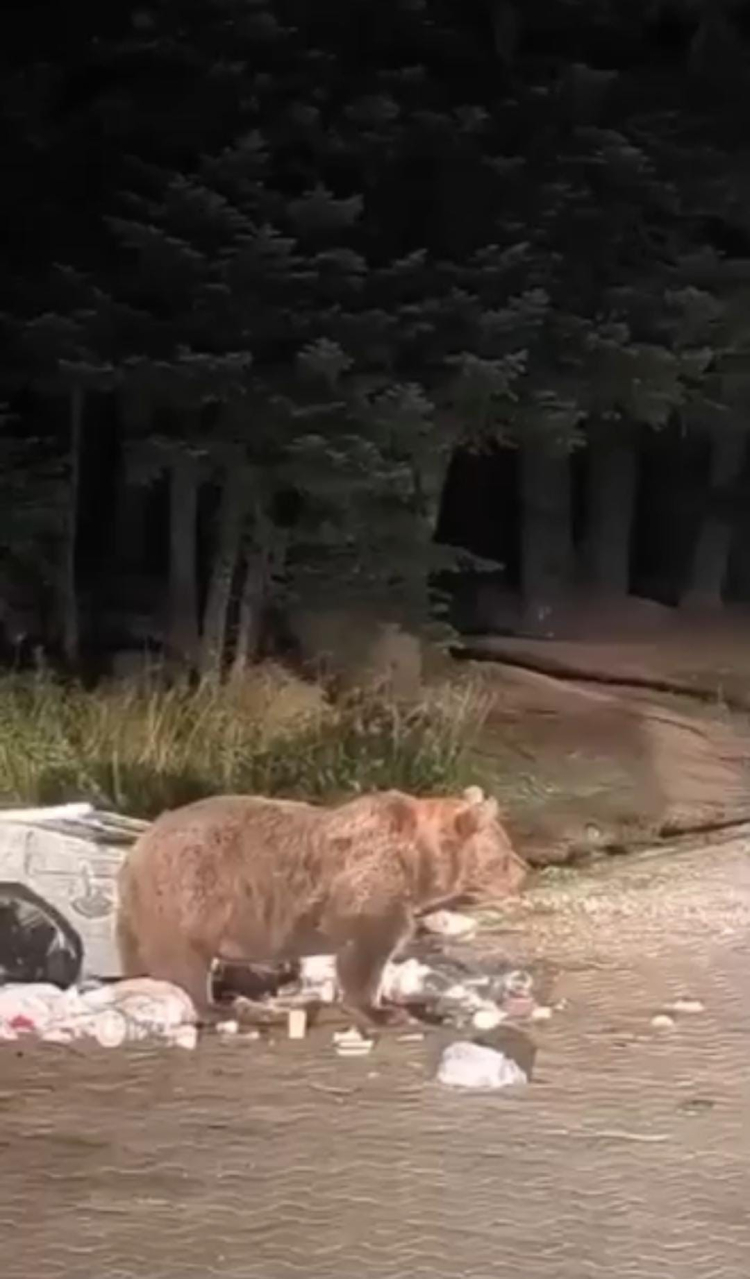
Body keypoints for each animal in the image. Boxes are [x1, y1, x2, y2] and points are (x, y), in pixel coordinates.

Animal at [115, 785, 526, 1027]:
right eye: (505, 855)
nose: (524, 873)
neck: (419, 864)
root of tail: (137, 850)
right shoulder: (370, 891)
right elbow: (365, 953)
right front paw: (382, 1010)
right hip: (193, 891)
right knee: (184, 961)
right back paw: (224, 1007)